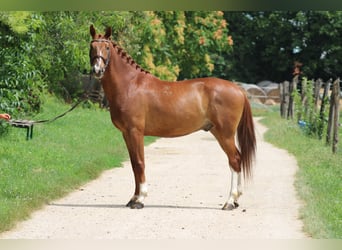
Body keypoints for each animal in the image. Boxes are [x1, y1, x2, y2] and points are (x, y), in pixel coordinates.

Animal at [89, 25, 255, 210]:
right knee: (237, 159)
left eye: (107, 47)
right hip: (218, 132)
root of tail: (238, 89)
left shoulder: (135, 132)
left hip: (225, 134)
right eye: (92, 46)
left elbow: (139, 163)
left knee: (234, 160)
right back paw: (236, 199)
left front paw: (140, 199)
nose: (97, 70)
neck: (130, 85)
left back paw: (230, 201)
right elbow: (133, 164)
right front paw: (134, 198)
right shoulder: (126, 133)